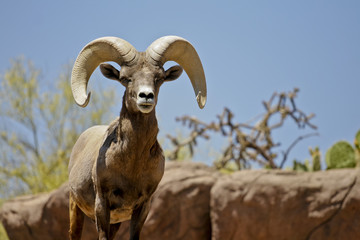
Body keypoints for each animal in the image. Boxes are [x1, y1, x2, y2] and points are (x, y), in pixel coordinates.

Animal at [68, 36, 207, 240]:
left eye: (159, 79)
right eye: (126, 78)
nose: (146, 96)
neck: (131, 166)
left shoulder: (142, 207)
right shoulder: (102, 204)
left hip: (115, 222)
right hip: (75, 208)